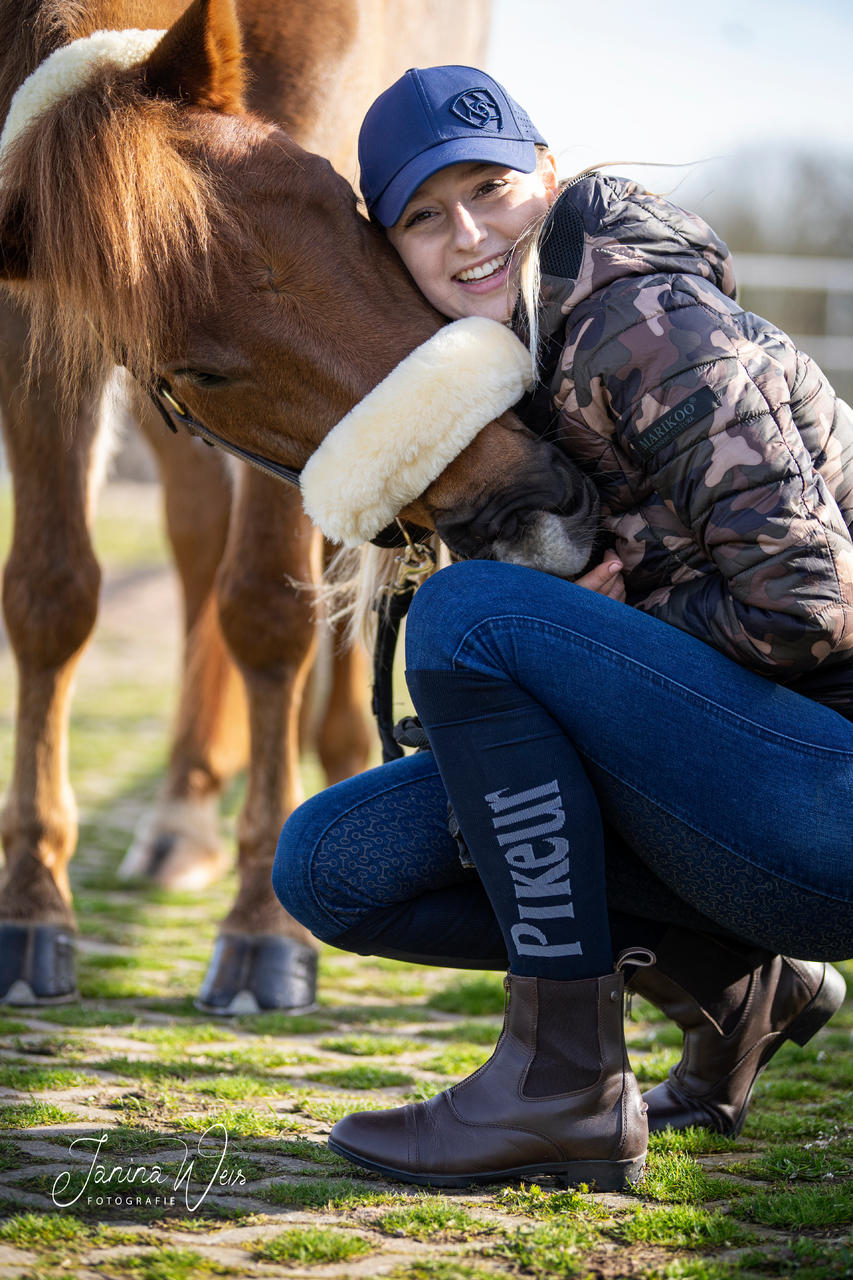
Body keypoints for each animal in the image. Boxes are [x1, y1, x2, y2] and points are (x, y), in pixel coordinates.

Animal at [1, 2, 596, 1008]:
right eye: (203, 370)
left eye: (352, 212)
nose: (531, 497)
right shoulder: (34, 303)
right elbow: (51, 598)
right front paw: (34, 904)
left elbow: (271, 609)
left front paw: (262, 931)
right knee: (200, 544)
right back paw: (182, 813)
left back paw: (338, 755)